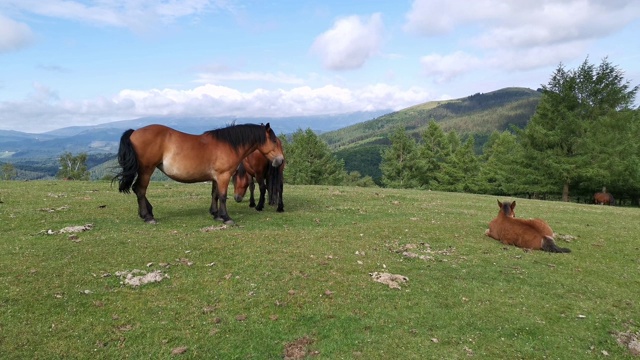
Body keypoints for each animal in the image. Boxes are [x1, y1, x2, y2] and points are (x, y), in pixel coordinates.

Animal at [114, 124, 284, 225]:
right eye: (275, 141)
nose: (280, 160)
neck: (228, 145)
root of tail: (134, 132)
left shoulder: (216, 177)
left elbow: (215, 194)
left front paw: (216, 214)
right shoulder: (223, 176)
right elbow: (223, 196)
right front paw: (226, 218)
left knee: (138, 190)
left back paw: (147, 212)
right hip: (146, 170)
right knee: (140, 190)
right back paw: (148, 216)